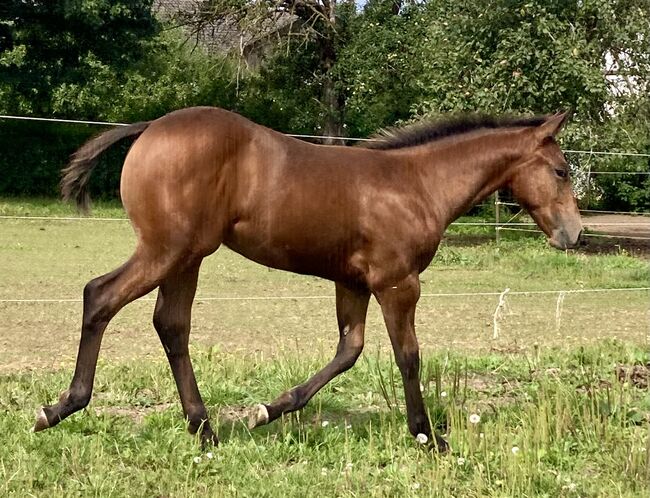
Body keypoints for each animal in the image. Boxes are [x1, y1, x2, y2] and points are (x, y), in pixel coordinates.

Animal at [30, 106, 580, 452]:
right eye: (561, 170)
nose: (573, 233)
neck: (418, 184)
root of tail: (149, 128)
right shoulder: (398, 283)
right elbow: (408, 356)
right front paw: (429, 438)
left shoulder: (353, 283)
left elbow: (348, 350)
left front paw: (269, 410)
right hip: (166, 250)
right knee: (100, 295)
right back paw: (59, 409)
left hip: (187, 257)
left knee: (171, 324)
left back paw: (204, 430)